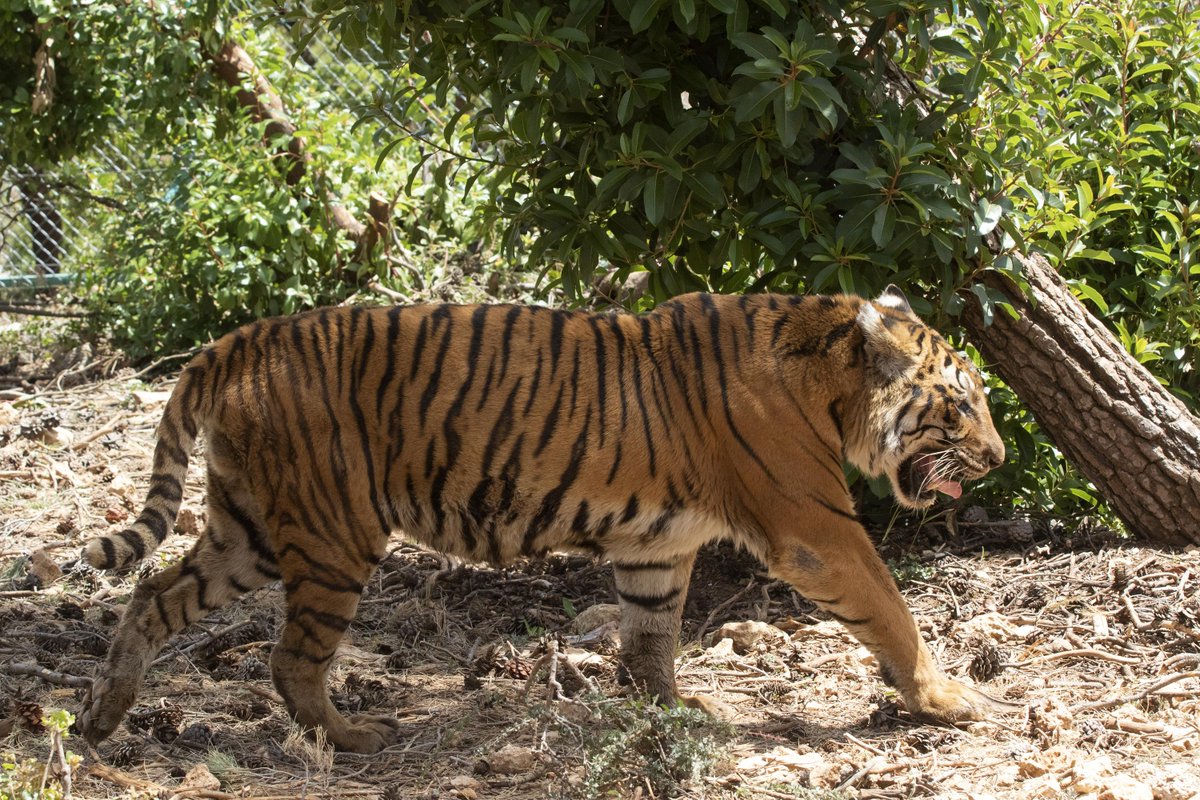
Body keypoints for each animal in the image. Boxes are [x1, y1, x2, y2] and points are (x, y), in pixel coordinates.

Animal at [78, 286, 1009, 754]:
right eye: (961, 406)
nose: (1000, 457)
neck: (829, 374)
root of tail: (237, 340)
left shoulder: (657, 547)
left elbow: (650, 637)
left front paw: (670, 713)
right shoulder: (818, 530)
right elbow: (893, 612)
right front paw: (949, 700)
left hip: (252, 531)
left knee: (154, 596)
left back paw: (103, 715)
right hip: (331, 534)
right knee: (289, 658)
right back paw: (353, 735)